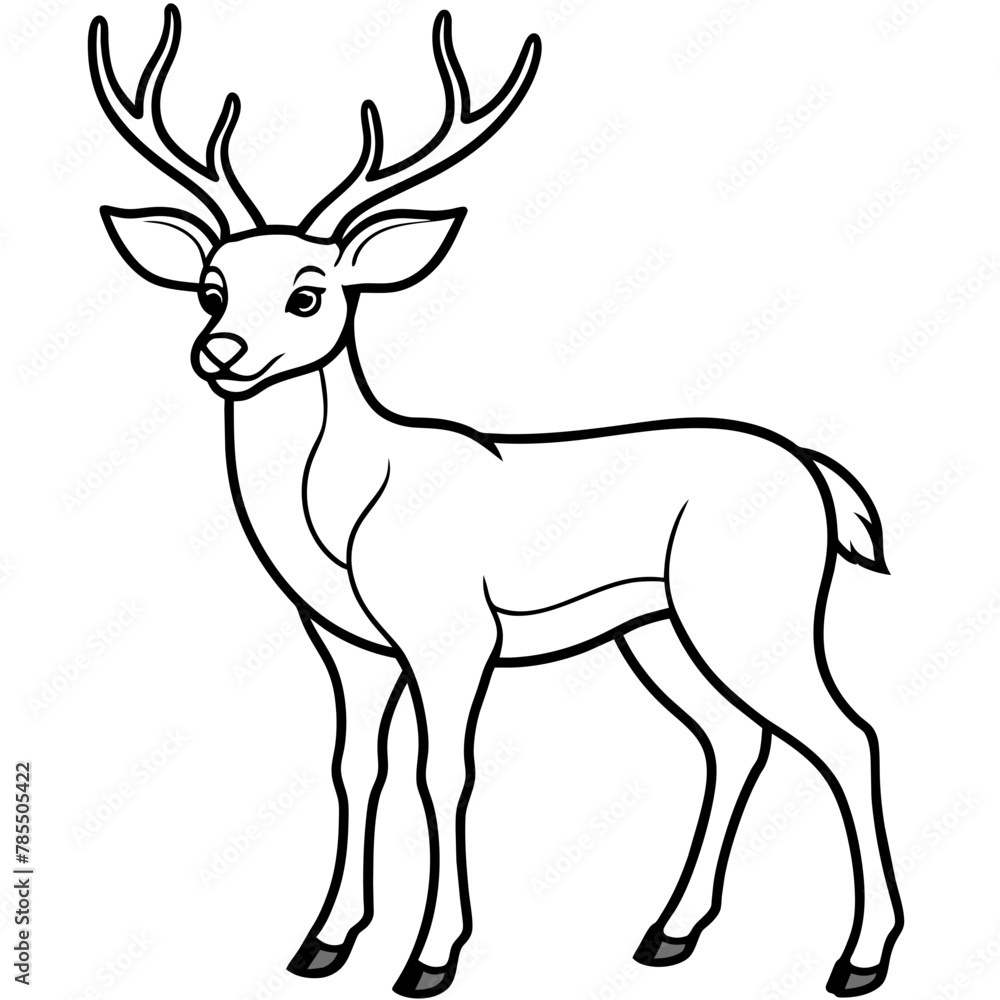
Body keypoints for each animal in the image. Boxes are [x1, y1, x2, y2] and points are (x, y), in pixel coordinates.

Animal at [89, 6, 904, 997]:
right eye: (211, 285)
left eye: (309, 293)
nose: (221, 352)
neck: (349, 515)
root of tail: (816, 473)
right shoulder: (348, 644)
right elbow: (353, 768)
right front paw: (323, 941)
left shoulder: (453, 635)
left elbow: (444, 774)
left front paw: (430, 958)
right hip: (658, 627)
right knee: (734, 738)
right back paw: (669, 933)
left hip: (753, 608)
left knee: (849, 735)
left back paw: (859, 959)